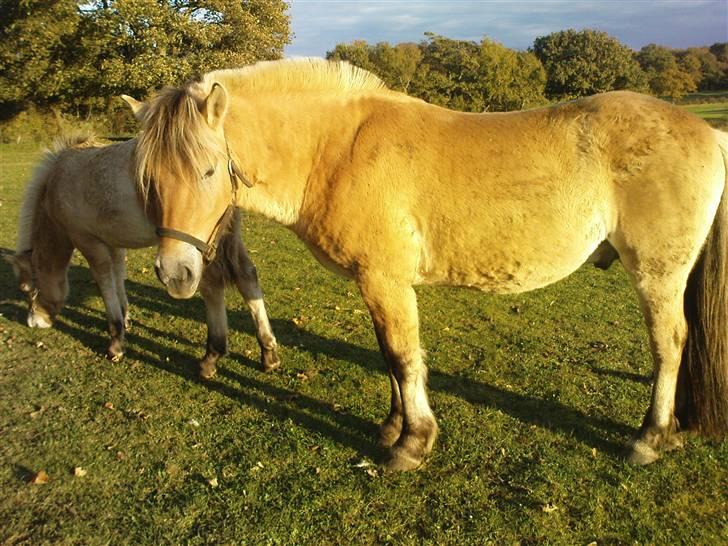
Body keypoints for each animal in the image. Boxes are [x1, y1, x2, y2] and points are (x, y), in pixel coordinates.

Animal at [8, 134, 282, 376]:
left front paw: (116, 341)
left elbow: (104, 281)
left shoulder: (88, 242)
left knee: (213, 284)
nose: (34, 322)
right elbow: (118, 275)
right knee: (246, 276)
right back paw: (267, 351)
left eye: (28, 289)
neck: (60, 179)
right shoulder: (113, 241)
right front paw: (126, 318)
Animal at [126, 58, 728, 468]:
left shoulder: (385, 281)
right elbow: (391, 358)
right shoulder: (379, 282)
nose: (174, 273)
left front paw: (412, 444)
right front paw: (392, 428)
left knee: (670, 344)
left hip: (657, 273)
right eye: (149, 177)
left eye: (207, 170)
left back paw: (649, 437)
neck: (338, 150)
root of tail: (709, 132)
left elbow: (402, 356)